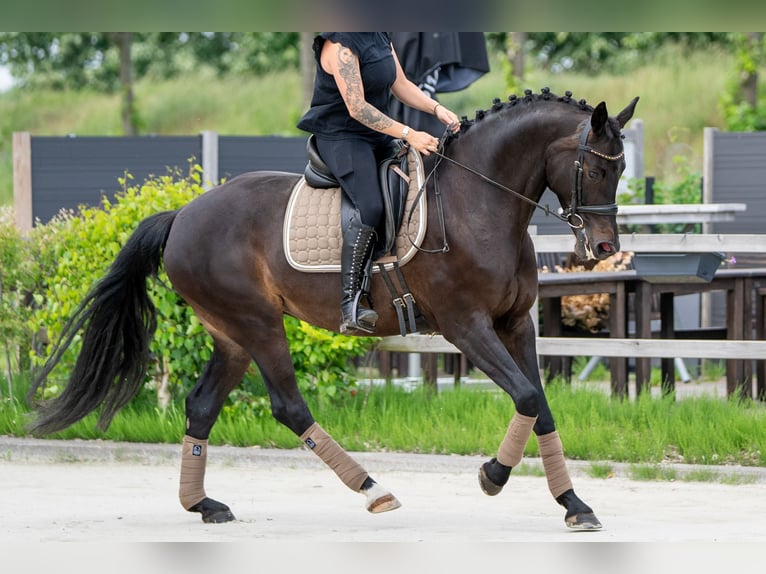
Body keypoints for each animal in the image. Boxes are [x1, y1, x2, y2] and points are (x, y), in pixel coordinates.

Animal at [27, 88, 638, 531]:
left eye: (621, 170)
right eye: (595, 170)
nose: (605, 247)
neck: (480, 203)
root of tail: (182, 215)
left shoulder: (514, 327)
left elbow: (541, 407)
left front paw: (574, 505)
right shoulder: (466, 327)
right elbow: (528, 396)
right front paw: (493, 475)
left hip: (230, 335)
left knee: (201, 405)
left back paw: (204, 505)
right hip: (258, 324)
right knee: (288, 406)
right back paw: (373, 489)